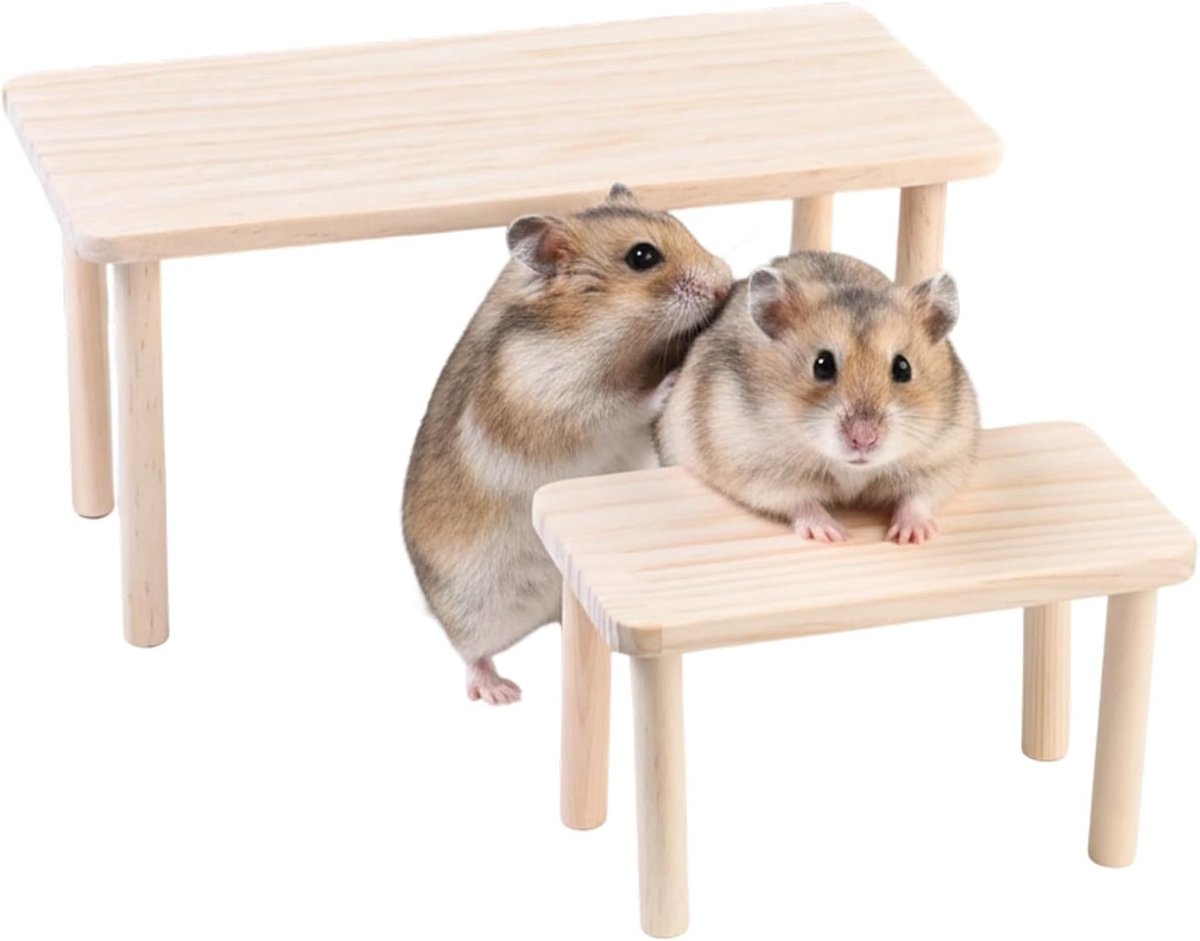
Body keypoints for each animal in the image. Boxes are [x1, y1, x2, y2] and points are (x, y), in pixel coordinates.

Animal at [403, 184, 732, 704]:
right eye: (643, 257)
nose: (725, 284)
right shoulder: (561, 404)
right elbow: (626, 403)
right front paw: (671, 377)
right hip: (476, 607)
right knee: (470, 652)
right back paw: (501, 693)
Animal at [656, 251, 979, 545]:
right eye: (822, 365)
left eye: (903, 368)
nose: (864, 439)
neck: (850, 470)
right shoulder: (757, 468)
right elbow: (801, 502)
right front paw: (835, 534)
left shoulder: (943, 457)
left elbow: (917, 496)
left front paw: (912, 536)